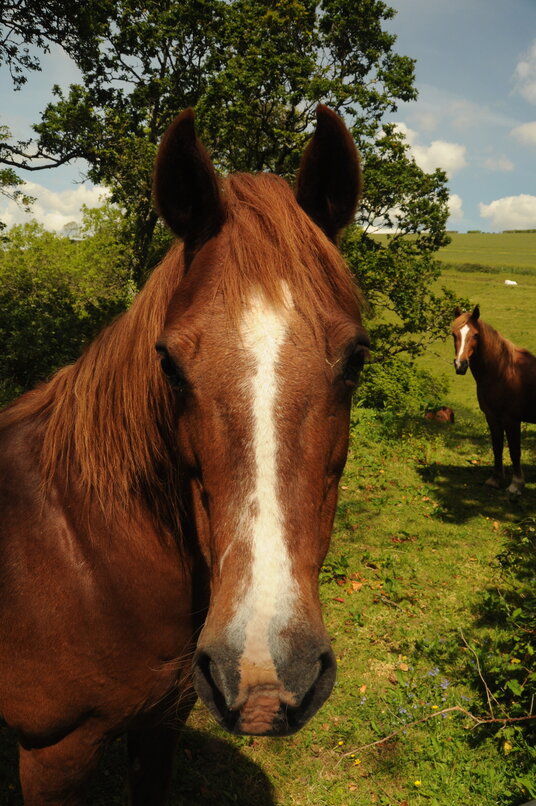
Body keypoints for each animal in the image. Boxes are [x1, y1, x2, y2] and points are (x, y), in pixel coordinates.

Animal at [0, 105, 369, 804]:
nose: (264, 678)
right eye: (169, 363)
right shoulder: (53, 753)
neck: (86, 556)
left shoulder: (162, 724)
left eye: (357, 358)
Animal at [452, 305, 536, 494]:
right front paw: (495, 480)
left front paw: (516, 484)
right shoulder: (491, 416)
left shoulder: (511, 419)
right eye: (454, 334)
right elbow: (497, 447)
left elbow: (514, 451)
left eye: (476, 335)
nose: (460, 365)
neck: (503, 370)